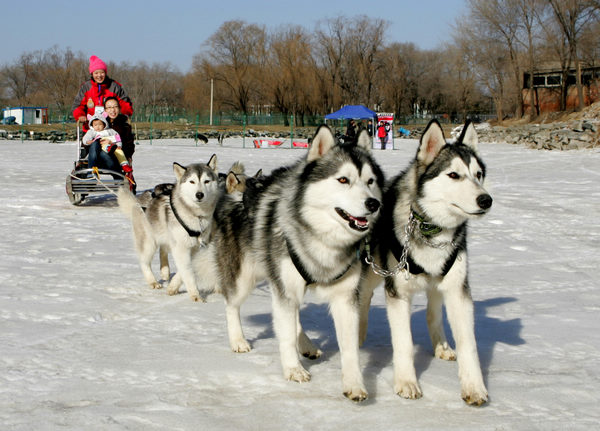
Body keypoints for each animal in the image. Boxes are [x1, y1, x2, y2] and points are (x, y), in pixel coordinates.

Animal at [118, 157, 220, 302]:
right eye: (192, 181)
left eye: (207, 181)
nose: (199, 194)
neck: (197, 216)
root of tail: (139, 201)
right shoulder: (181, 248)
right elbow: (187, 273)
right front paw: (195, 296)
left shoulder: (193, 248)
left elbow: (183, 271)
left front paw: (172, 287)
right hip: (149, 242)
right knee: (144, 262)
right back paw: (153, 281)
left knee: (163, 249)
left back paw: (165, 271)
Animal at [241, 126, 382, 404]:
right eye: (343, 180)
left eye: (370, 181)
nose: (373, 204)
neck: (322, 239)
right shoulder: (285, 287)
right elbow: (285, 333)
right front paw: (293, 369)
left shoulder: (345, 297)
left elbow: (349, 346)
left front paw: (354, 383)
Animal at [360, 120, 492, 406]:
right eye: (453, 175)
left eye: (478, 175)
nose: (486, 199)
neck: (432, 231)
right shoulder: (397, 293)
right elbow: (404, 343)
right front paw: (406, 382)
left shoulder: (458, 291)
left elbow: (469, 344)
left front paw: (474, 387)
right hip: (373, 270)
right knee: (363, 297)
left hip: (438, 284)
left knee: (433, 313)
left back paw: (441, 346)